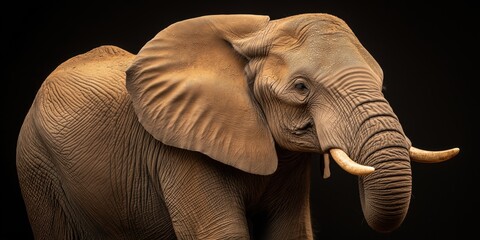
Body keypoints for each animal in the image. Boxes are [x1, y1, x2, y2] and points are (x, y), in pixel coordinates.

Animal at [15, 13, 458, 240]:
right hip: (35, 165)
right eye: (301, 87)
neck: (255, 35)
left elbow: (291, 233)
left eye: (381, 83)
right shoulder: (182, 153)